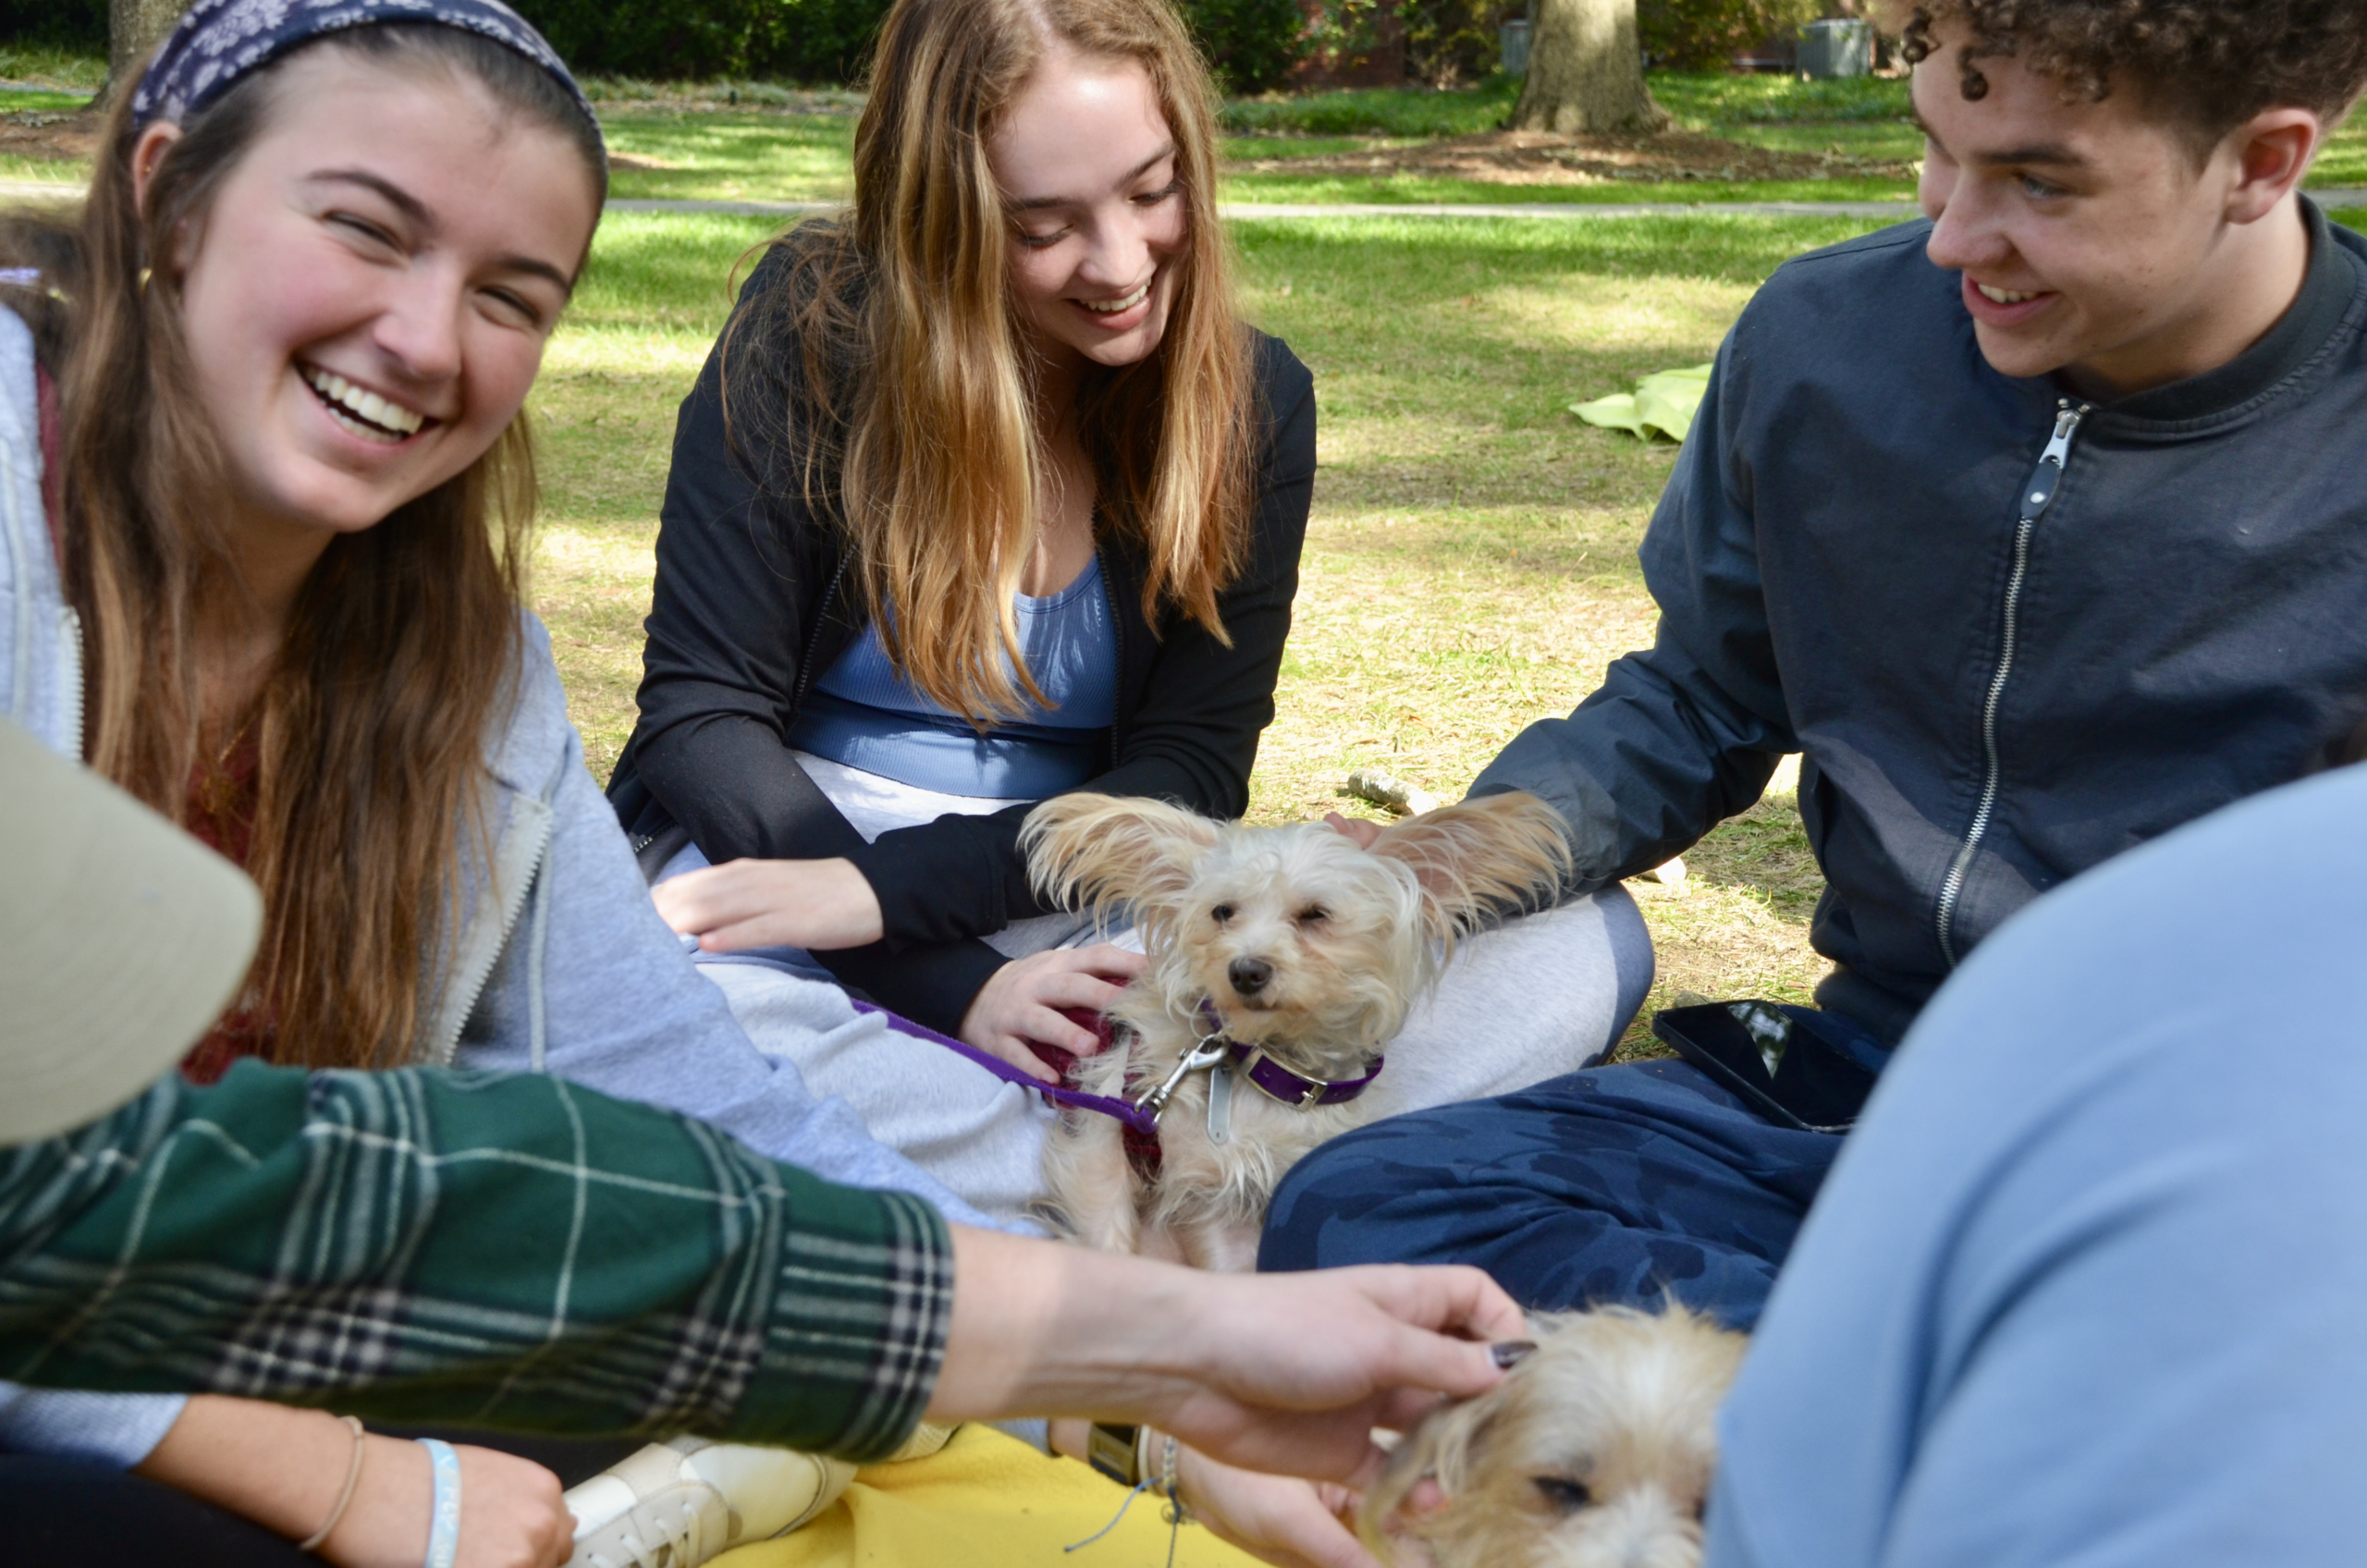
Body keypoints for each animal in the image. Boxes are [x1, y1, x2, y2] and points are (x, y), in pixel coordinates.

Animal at [1017, 800, 1571, 1279]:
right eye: (1223, 912)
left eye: (1315, 915)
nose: (1245, 971)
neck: (1256, 1066)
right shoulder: (1102, 1145)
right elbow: (1106, 1235)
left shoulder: (1228, 1211)